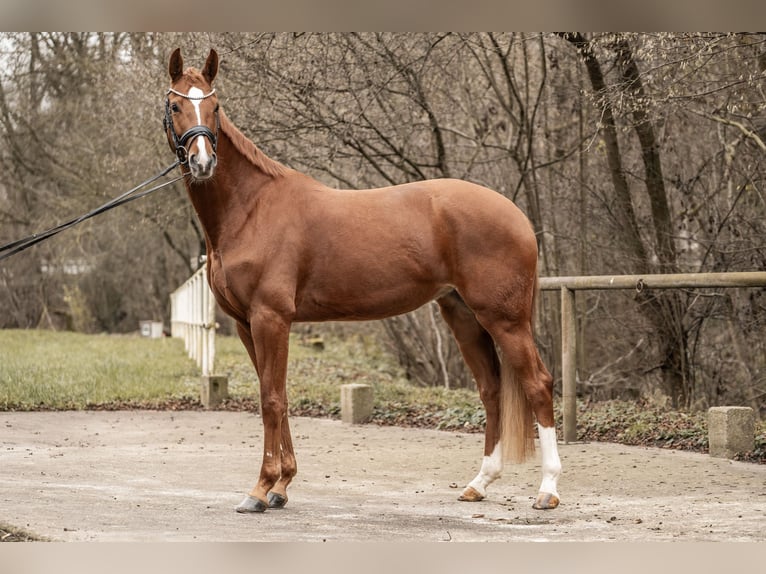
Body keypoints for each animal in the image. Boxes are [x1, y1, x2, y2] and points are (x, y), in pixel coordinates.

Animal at [165, 49, 564, 516]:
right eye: (176, 105)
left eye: (214, 107)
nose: (203, 162)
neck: (252, 208)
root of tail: (517, 216)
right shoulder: (247, 324)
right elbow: (276, 394)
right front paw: (282, 486)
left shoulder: (270, 318)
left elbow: (271, 400)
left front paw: (261, 490)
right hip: (463, 316)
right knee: (492, 389)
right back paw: (479, 483)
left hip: (505, 320)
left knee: (538, 385)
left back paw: (548, 490)